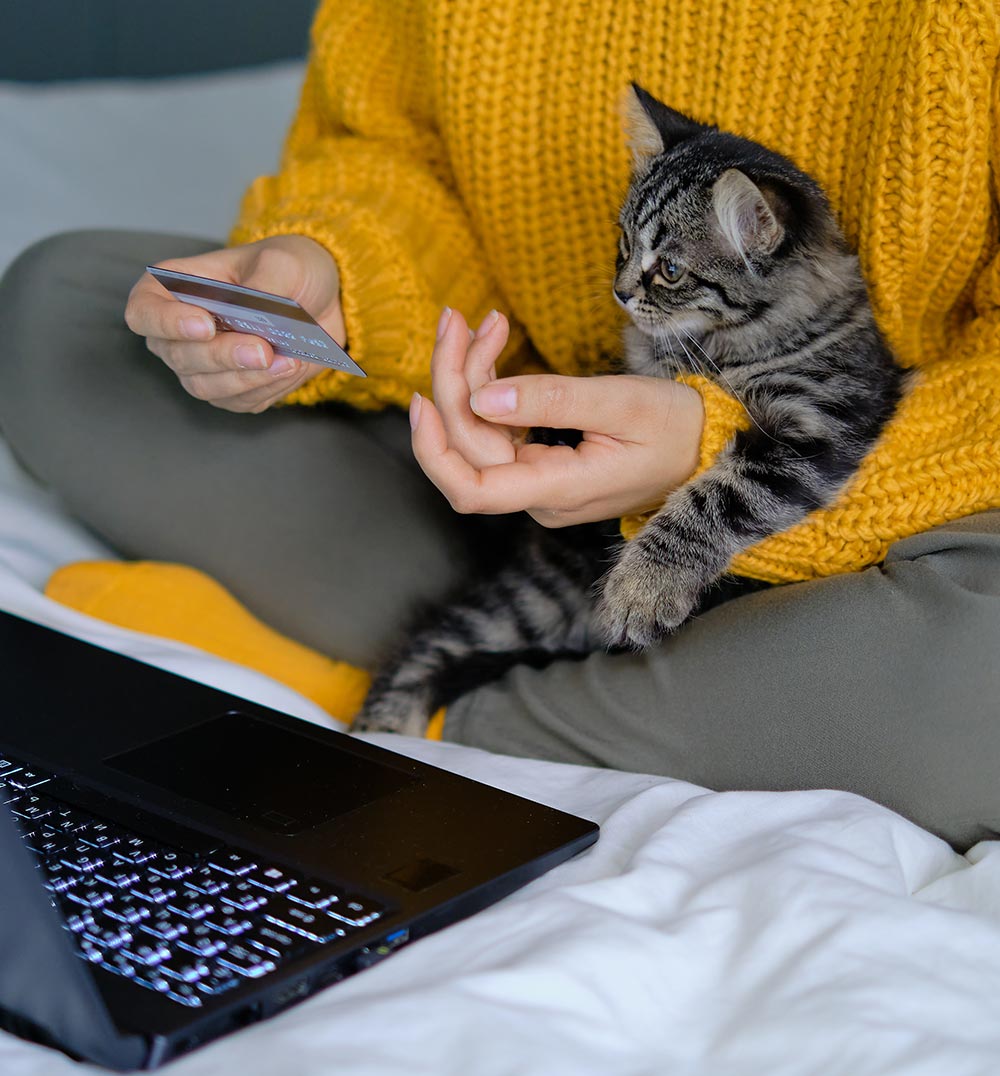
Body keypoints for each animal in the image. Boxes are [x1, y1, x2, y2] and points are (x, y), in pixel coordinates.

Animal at [353, 81, 904, 740]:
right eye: (622, 244)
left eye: (669, 269)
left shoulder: (817, 427)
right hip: (534, 596)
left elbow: (714, 498)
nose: (620, 291)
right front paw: (553, 429)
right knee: (433, 641)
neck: (728, 348)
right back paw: (384, 727)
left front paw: (643, 587)